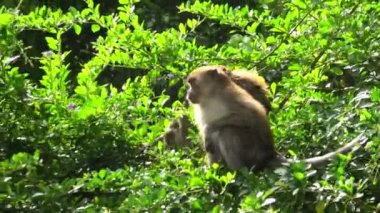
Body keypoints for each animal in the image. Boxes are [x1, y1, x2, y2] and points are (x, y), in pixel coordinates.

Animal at [186, 65, 366, 171]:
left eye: (192, 83)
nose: (188, 94)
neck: (210, 96)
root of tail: (269, 154)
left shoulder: (230, 96)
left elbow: (253, 114)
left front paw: (210, 128)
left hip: (254, 151)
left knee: (228, 132)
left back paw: (241, 174)